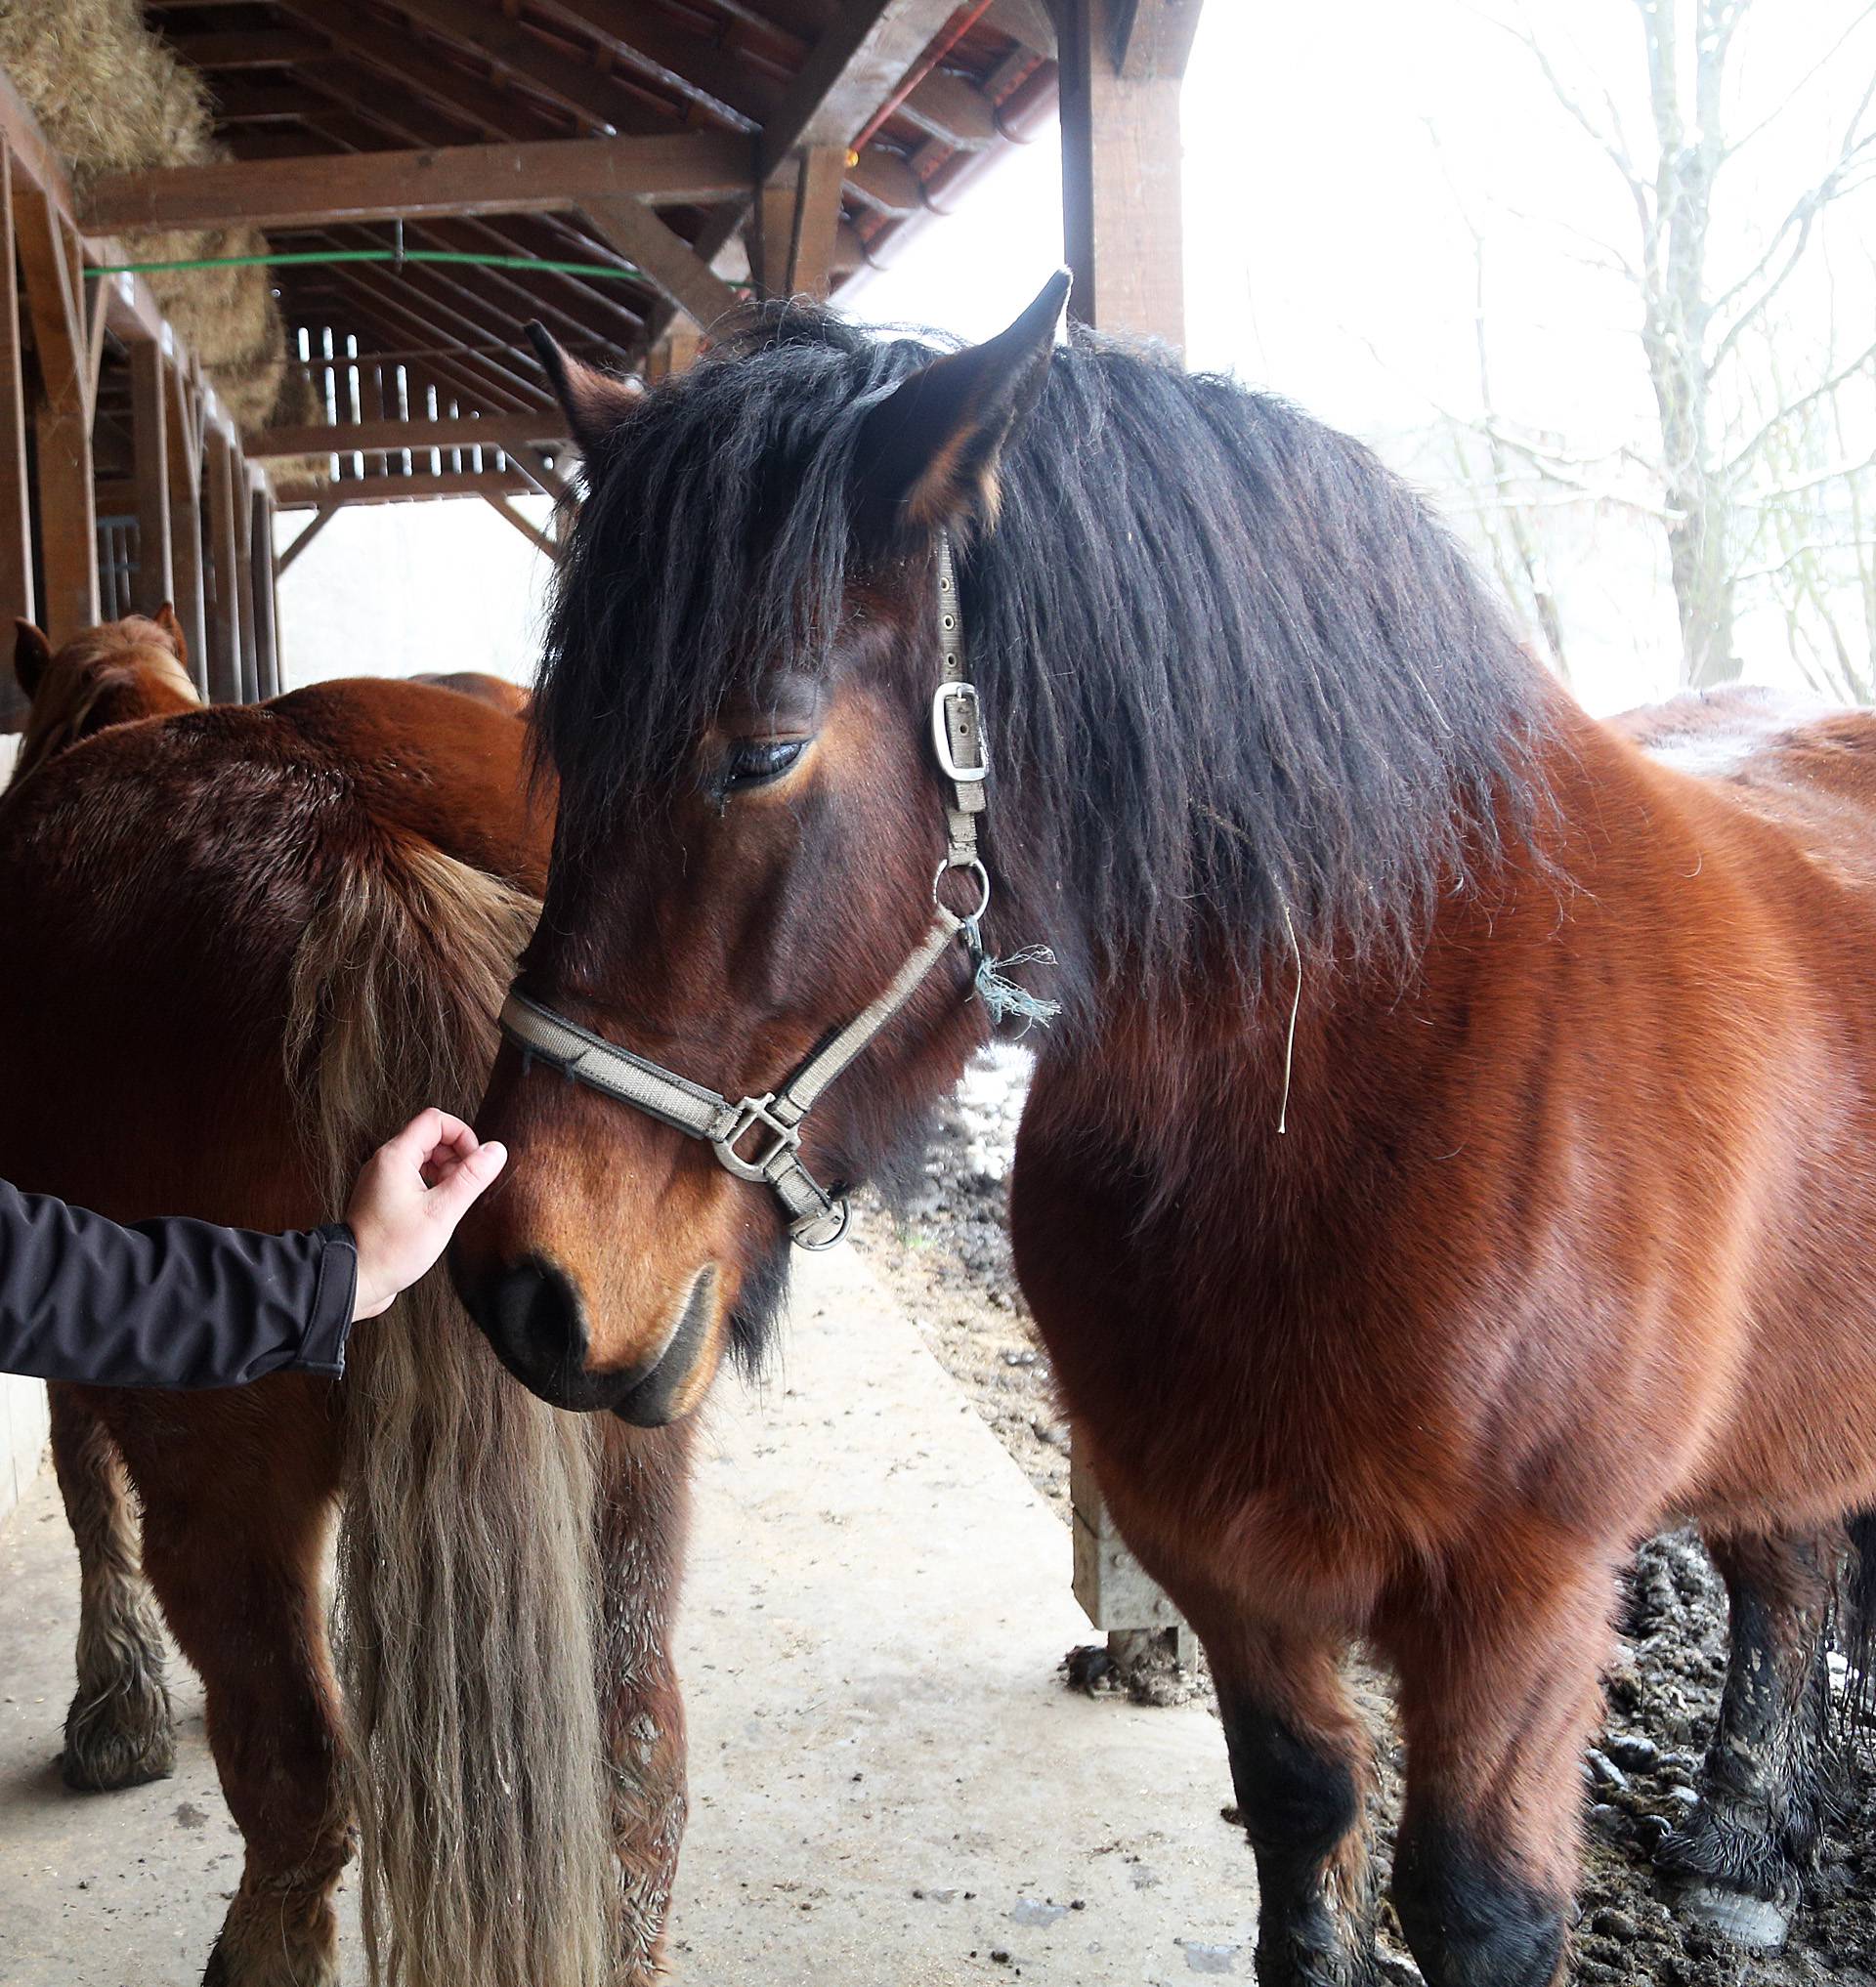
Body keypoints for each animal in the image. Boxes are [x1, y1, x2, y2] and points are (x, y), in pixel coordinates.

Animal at [1, 612, 687, 1978]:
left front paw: (115, 1709)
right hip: (635, 1440)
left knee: (299, 1795)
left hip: (220, 1474)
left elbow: (84, 1489)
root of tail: (359, 851)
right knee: (639, 1771)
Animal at [450, 279, 1876, 1986]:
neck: (1352, 1102)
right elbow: (1304, 1828)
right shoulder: (1219, 1545)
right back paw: (1746, 1848)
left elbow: (1480, 1908)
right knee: (1791, 1546)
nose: (521, 1286)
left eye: (761, 751)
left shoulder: (1523, 1604)